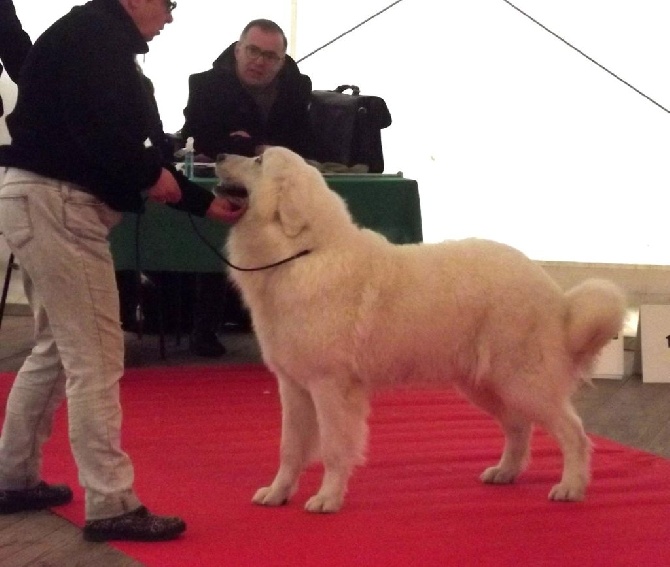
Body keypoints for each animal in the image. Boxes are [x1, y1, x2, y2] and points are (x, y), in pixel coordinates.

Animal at [217, 146, 632, 516]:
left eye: (258, 160)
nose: (219, 156)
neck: (301, 253)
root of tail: (556, 296)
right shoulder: (293, 386)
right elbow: (289, 449)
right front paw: (277, 494)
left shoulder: (330, 386)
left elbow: (334, 449)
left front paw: (327, 499)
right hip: (485, 386)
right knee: (519, 427)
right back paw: (505, 472)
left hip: (524, 382)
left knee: (573, 433)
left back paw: (571, 487)